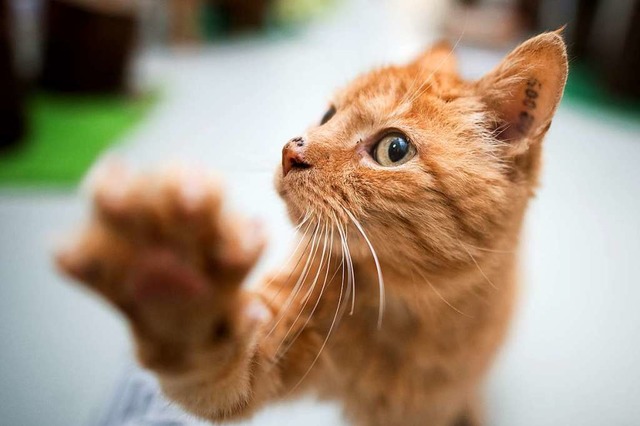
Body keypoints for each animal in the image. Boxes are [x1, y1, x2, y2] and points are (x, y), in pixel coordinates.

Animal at [55, 32, 564, 426]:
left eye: (394, 149)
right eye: (327, 115)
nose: (290, 151)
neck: (404, 313)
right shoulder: (270, 344)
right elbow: (216, 364)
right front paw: (174, 276)